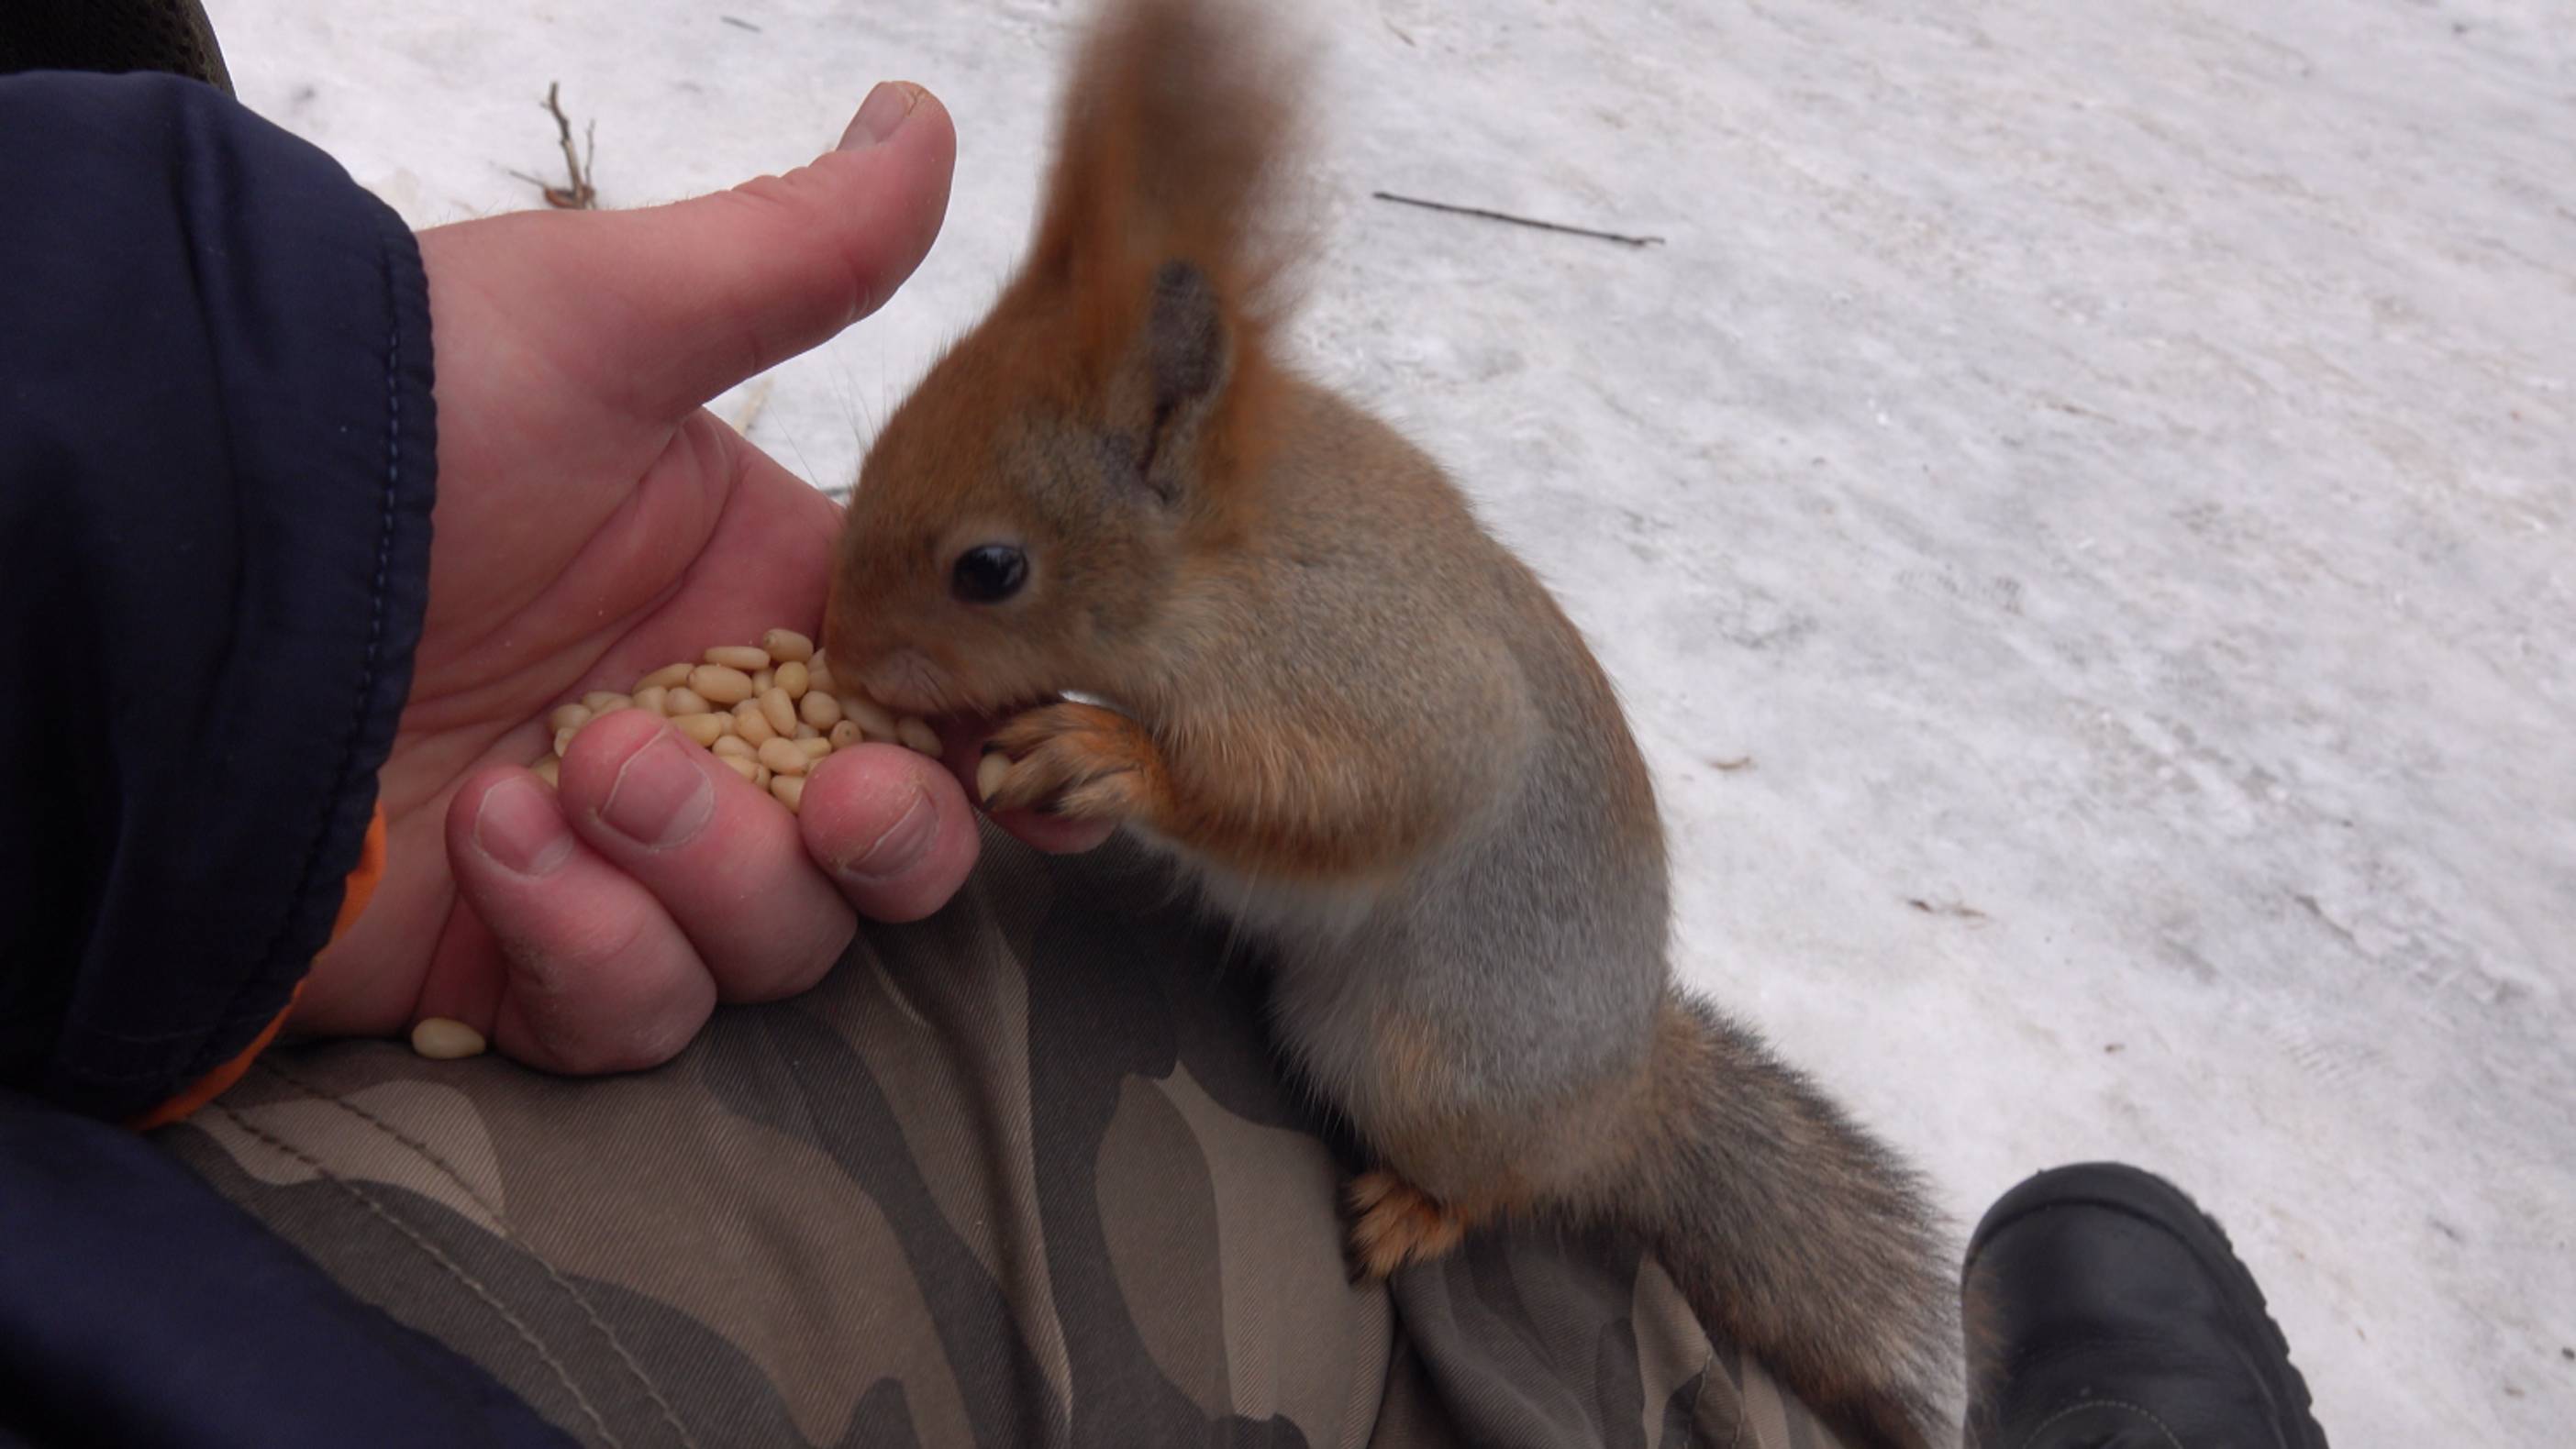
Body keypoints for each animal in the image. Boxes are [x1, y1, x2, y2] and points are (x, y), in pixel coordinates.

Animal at [824, 0, 1947, 1441]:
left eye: (991, 568)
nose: (840, 643)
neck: (1220, 565)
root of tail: (1621, 1094)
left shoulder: (1383, 689)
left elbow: (1347, 804)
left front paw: (1106, 755)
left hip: (1430, 1072)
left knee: (1512, 1187)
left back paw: (1422, 1208)